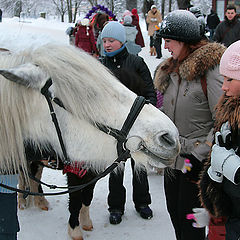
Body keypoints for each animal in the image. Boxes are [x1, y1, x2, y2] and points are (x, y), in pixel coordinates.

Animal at [0, 44, 180, 239]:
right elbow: (75, 202)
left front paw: (85, 222)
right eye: (88, 94)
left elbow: (86, 198)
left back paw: (39, 201)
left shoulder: (91, 172)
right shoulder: (75, 172)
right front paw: (75, 230)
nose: (169, 138)